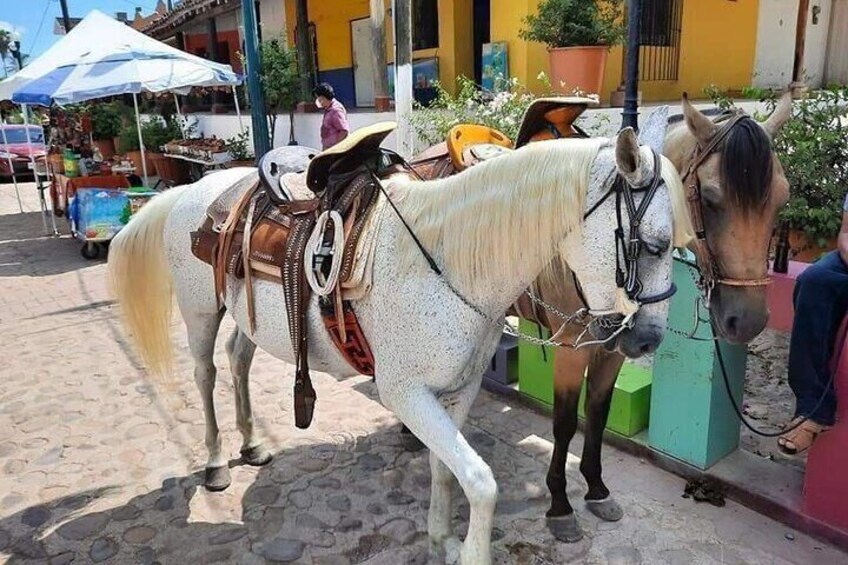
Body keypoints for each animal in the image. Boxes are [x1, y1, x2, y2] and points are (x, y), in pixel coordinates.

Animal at [107, 118, 688, 560]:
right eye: (655, 245)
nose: (647, 340)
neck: (444, 260)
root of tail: (193, 189)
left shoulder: (456, 390)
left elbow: (445, 469)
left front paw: (441, 539)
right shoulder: (406, 394)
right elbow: (481, 482)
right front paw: (468, 549)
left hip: (248, 317)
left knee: (238, 360)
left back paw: (251, 444)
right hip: (200, 311)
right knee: (204, 374)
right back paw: (213, 463)